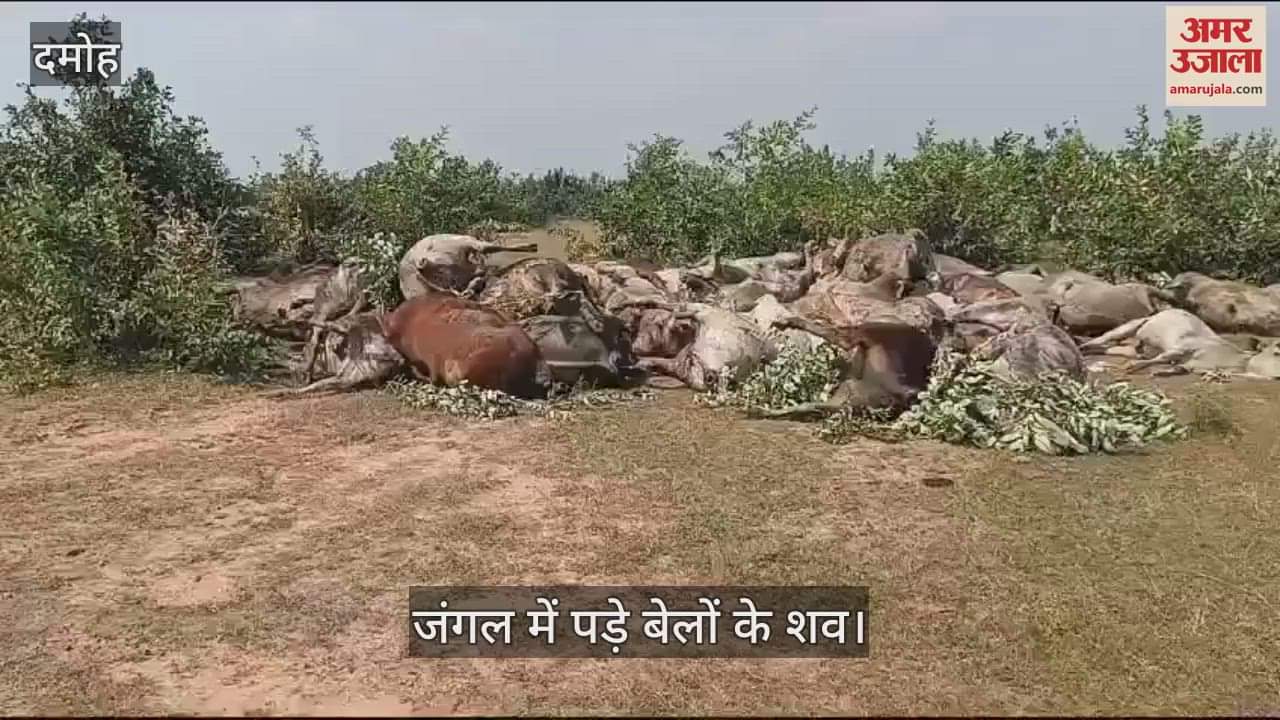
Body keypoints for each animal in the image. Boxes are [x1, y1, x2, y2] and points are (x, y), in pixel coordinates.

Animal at [1077, 308, 1280, 379]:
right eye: (1276, 351)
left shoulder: (1189, 364)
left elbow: (1177, 367)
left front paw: (1161, 372)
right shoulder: (1182, 347)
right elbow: (1162, 357)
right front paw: (1132, 367)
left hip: (1129, 348)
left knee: (1109, 349)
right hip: (1133, 325)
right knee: (1103, 338)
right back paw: (1080, 347)